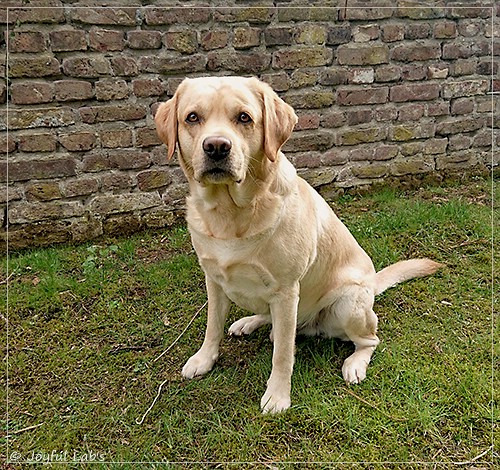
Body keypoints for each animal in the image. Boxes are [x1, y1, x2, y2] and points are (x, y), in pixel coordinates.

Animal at [153, 75, 442, 414]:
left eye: (244, 118)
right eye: (192, 117)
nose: (216, 147)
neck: (230, 213)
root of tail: (372, 284)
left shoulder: (287, 289)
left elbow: (282, 354)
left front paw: (278, 395)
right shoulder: (214, 279)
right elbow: (213, 326)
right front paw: (204, 359)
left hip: (347, 303)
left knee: (368, 339)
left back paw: (355, 363)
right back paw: (250, 322)